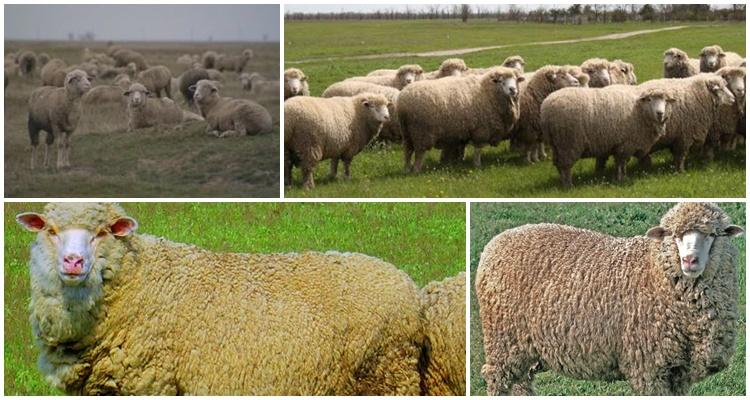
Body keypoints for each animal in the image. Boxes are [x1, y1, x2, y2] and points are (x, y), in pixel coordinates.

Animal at [14, 202, 426, 395]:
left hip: (386, 377)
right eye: (50, 230)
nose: (73, 262)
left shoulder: (150, 384)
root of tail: (408, 284)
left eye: (103, 232)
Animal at [476, 202, 744, 395]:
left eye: (712, 235)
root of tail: (494, 244)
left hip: (522, 347)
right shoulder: (649, 367)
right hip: (502, 339)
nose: (689, 260)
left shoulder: (678, 372)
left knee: (520, 383)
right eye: (674, 236)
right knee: (496, 378)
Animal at [543, 85, 677, 187]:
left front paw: (620, 177)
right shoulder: (626, 144)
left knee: (558, 163)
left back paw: (562, 182)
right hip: (568, 142)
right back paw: (568, 185)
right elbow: (622, 163)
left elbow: (620, 163)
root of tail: (546, 106)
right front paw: (621, 179)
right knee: (565, 165)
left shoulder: (620, 145)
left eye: (666, 101)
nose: (660, 113)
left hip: (556, 144)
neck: (639, 111)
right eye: (649, 100)